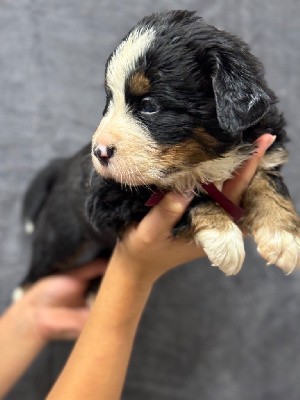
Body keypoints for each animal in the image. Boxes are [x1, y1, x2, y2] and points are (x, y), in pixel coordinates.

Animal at [19, 10, 300, 288]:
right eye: (110, 101)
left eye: (149, 105)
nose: (99, 152)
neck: (209, 158)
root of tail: (63, 163)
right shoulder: (110, 195)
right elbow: (186, 188)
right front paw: (222, 235)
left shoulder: (265, 147)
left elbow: (268, 182)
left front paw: (281, 235)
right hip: (61, 238)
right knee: (36, 272)